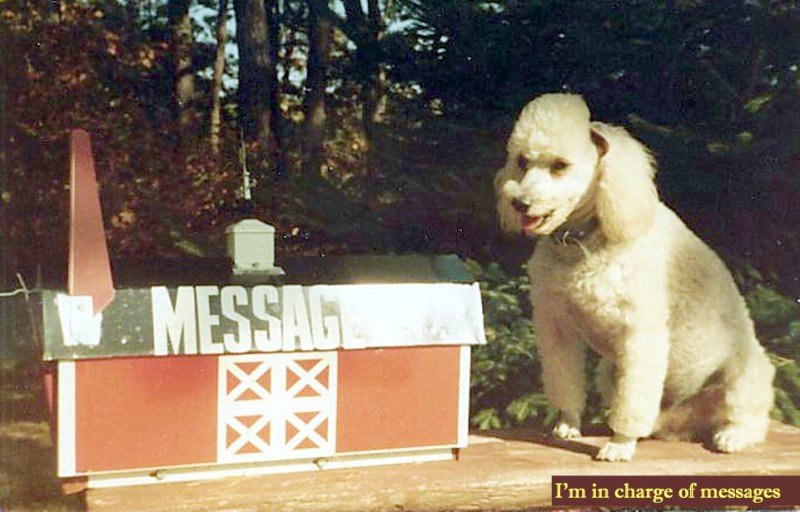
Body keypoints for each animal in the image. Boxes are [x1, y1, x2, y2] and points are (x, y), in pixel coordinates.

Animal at [494, 93, 776, 464]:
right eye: (522, 161)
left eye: (560, 165)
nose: (519, 203)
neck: (585, 241)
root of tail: (685, 423)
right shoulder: (556, 326)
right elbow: (564, 382)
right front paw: (568, 424)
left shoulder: (639, 333)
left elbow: (632, 401)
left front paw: (620, 444)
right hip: (608, 372)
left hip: (742, 377)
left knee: (749, 418)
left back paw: (731, 436)